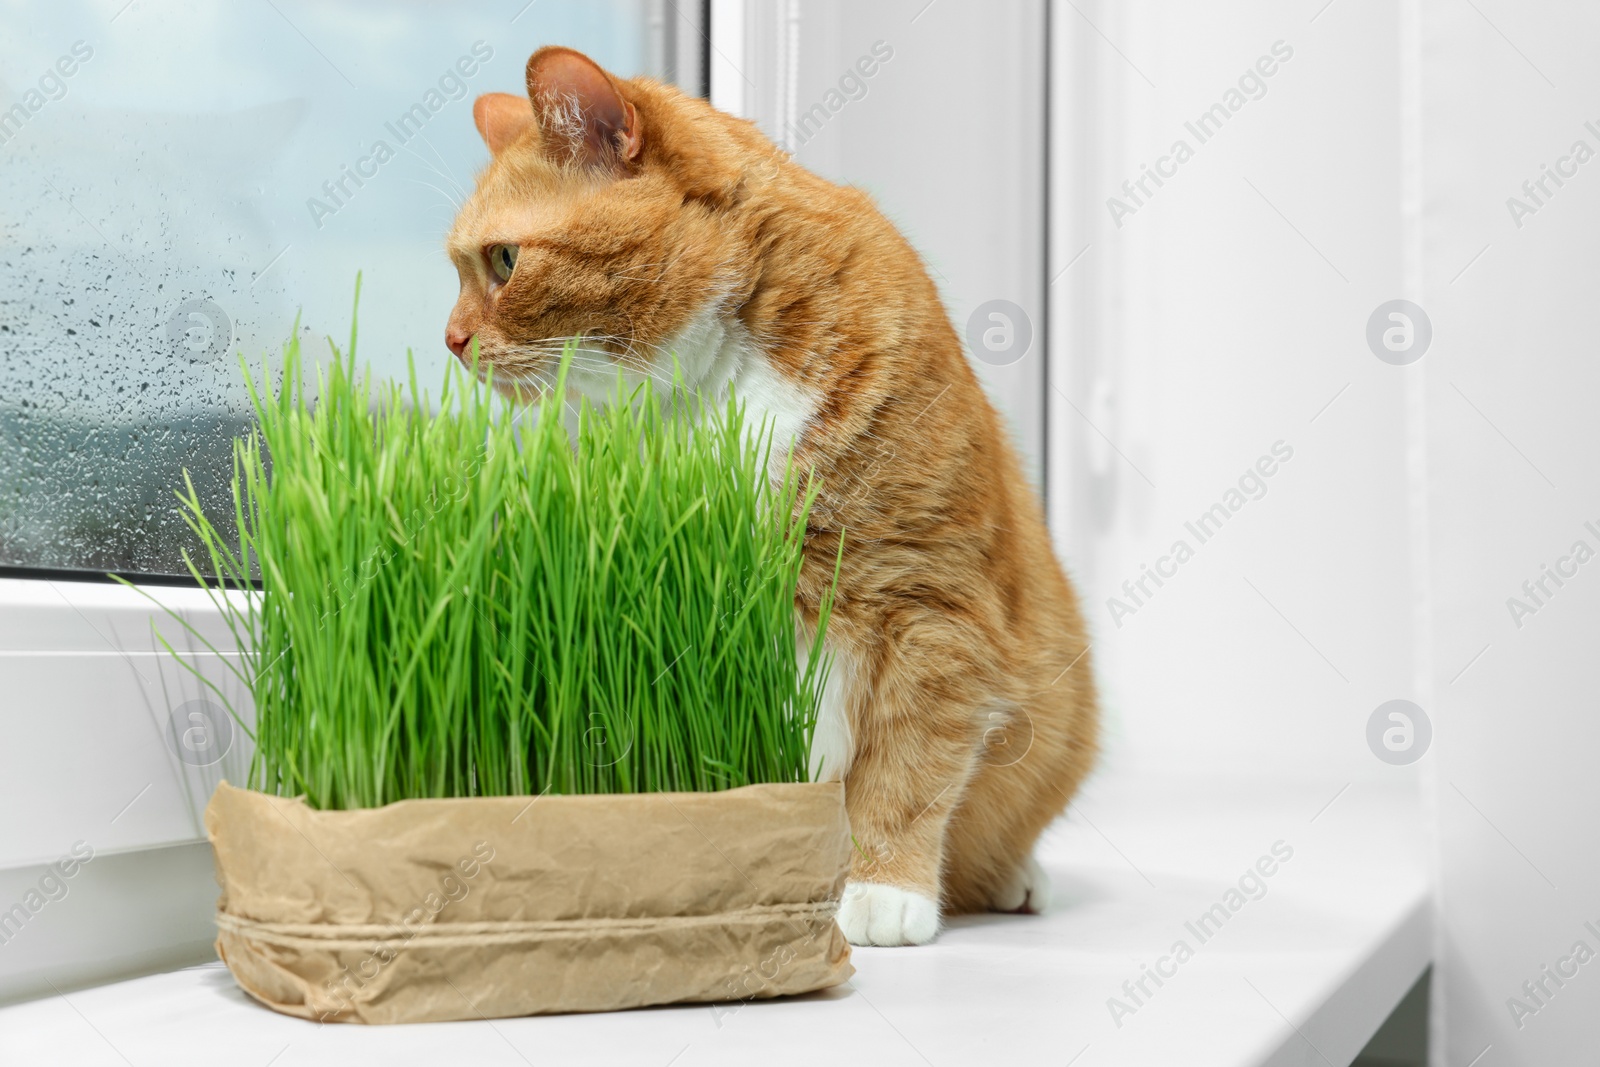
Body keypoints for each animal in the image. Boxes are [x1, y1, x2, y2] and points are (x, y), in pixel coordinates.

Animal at [451, 45, 1100, 947]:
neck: (712, 384)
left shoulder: (930, 601)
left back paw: (1016, 879)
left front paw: (885, 886)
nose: (450, 340)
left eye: (505, 261)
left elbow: (906, 766)